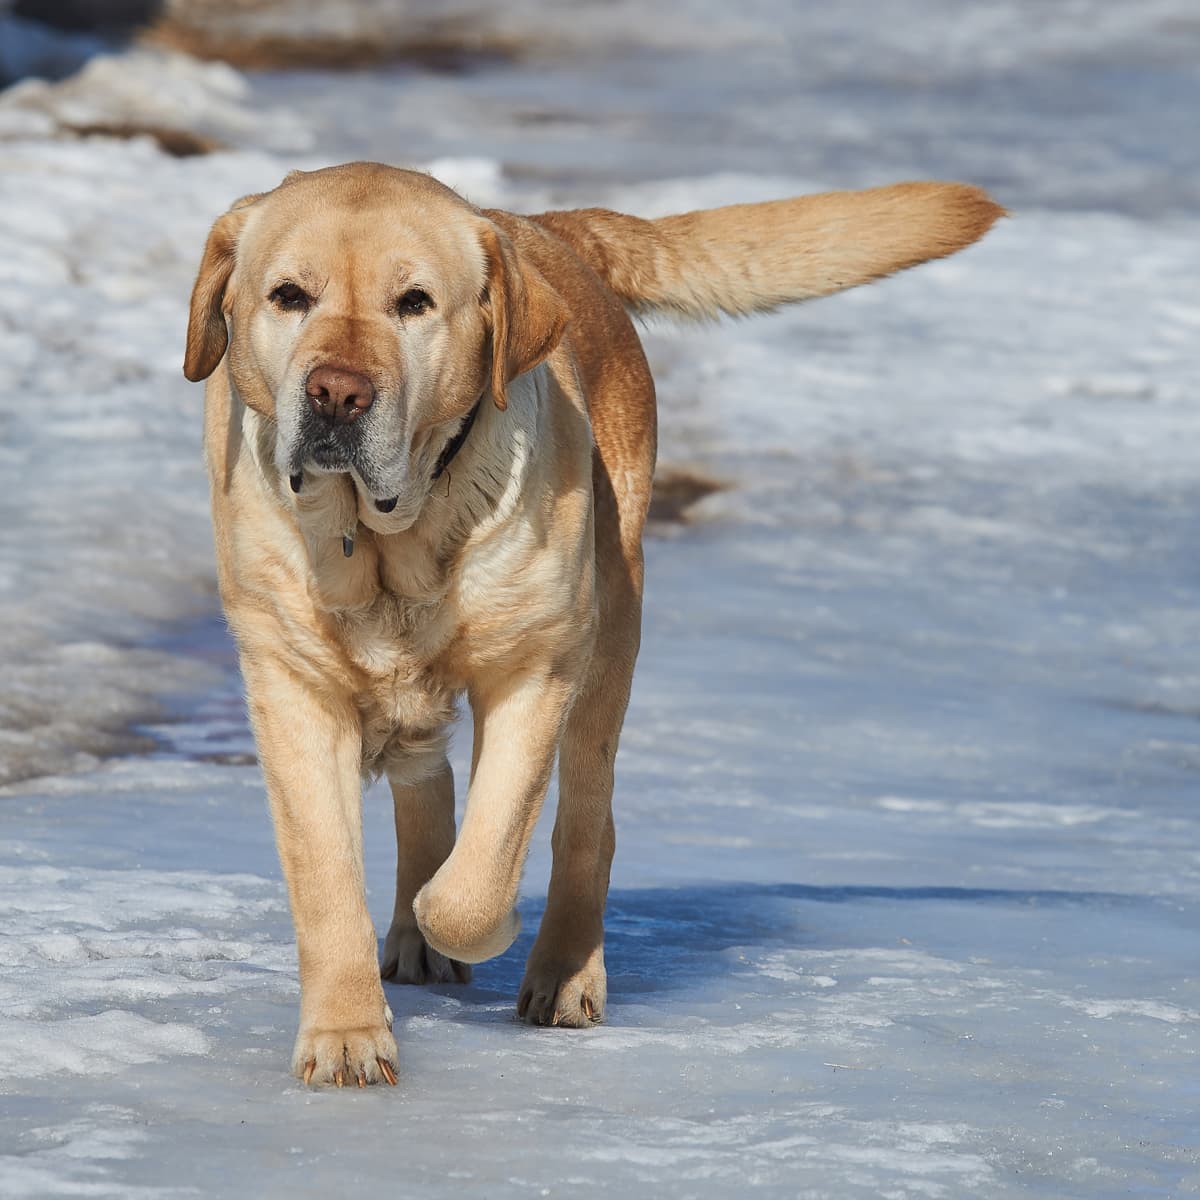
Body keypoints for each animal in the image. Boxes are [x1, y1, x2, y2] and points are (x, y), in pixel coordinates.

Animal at [180, 164, 1003, 1094]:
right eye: (289, 295)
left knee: (586, 821)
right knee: (429, 779)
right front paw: (347, 1035)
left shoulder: (536, 670)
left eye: (415, 303)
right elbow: (326, 879)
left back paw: (562, 972)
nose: (337, 393)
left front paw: (458, 918)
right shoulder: (291, 684)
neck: (393, 541)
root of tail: (552, 228)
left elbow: (477, 884)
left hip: (612, 636)